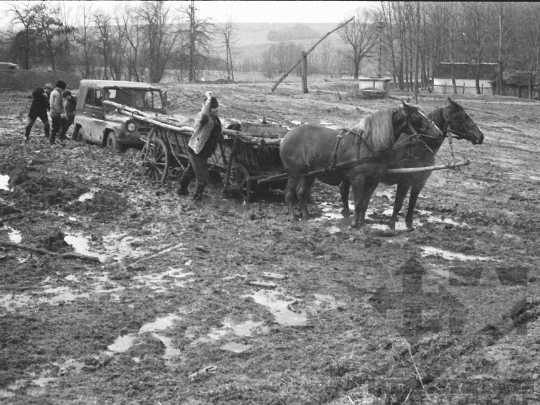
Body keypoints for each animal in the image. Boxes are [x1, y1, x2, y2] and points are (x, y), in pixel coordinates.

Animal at [278, 101, 442, 227]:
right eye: (417, 117)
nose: (439, 132)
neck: (370, 144)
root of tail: (287, 136)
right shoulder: (358, 180)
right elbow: (357, 203)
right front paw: (354, 224)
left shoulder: (373, 181)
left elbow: (365, 203)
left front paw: (362, 224)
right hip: (294, 174)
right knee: (289, 194)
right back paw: (293, 217)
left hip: (309, 175)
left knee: (301, 192)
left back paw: (306, 216)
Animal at [338, 97, 486, 229]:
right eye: (463, 117)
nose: (481, 136)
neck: (418, 147)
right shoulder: (405, 180)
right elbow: (398, 203)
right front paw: (392, 224)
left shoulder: (419, 181)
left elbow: (412, 203)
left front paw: (409, 223)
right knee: (344, 189)